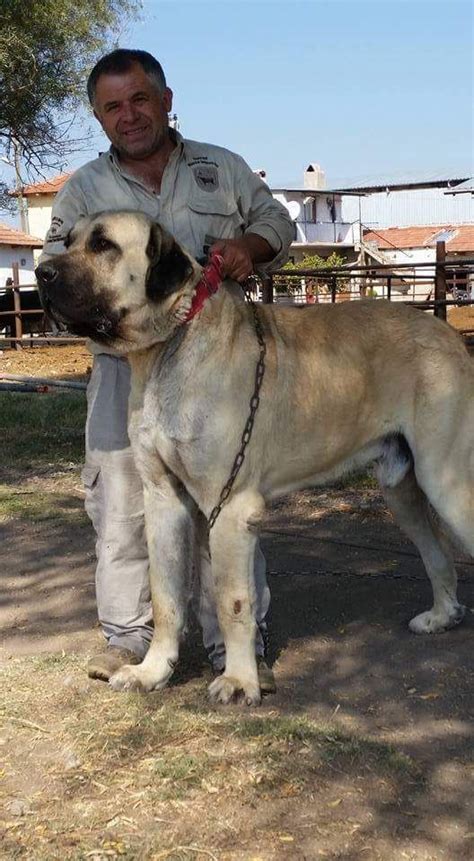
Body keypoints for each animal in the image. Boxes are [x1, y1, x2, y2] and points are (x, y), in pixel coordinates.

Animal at [35, 212, 472, 704]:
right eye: (67, 241)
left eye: (104, 245)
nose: (42, 274)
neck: (170, 344)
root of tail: (448, 334)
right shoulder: (163, 500)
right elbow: (166, 596)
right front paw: (152, 671)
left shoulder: (230, 507)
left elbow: (232, 601)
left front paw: (240, 680)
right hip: (402, 488)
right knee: (437, 553)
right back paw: (441, 616)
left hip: (447, 480)